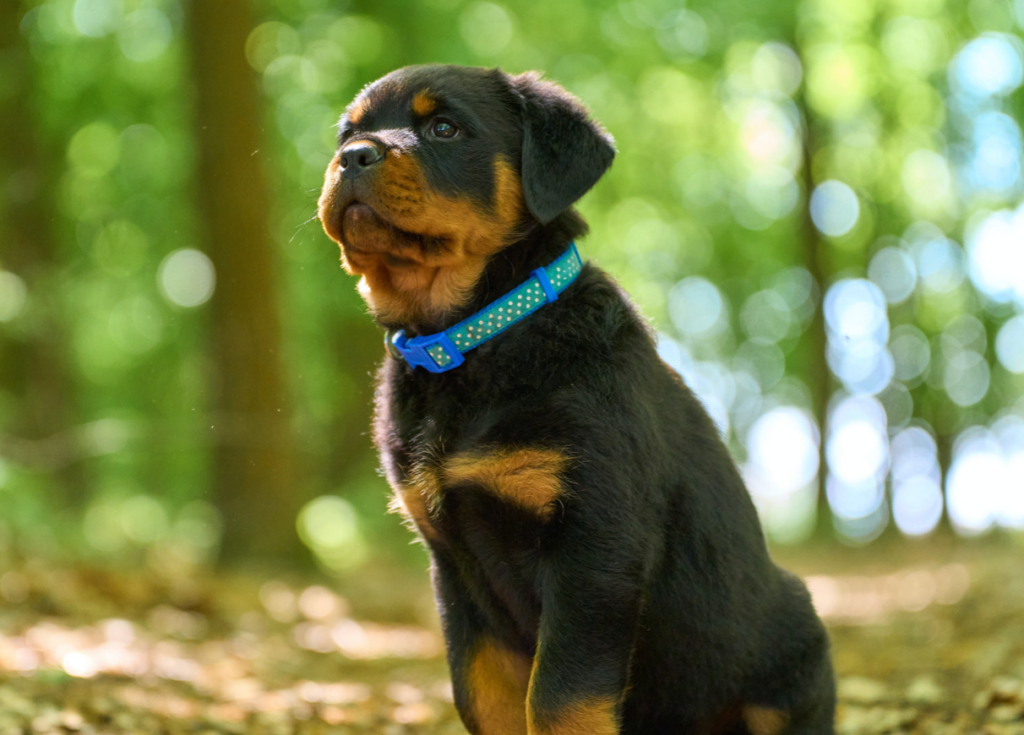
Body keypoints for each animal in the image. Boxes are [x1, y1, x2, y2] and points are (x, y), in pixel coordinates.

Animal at [315, 63, 835, 735]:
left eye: (444, 128)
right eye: (347, 134)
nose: (353, 156)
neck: (472, 342)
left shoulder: (594, 543)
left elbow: (560, 698)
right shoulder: (455, 567)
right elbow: (483, 695)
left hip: (791, 638)